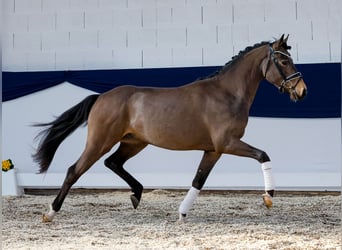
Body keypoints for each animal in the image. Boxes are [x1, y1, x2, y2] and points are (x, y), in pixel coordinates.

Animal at [34, 33, 308, 223]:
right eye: (283, 61)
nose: (302, 90)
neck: (227, 94)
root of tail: (100, 97)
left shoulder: (213, 150)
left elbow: (198, 180)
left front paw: (182, 214)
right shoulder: (227, 143)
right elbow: (263, 155)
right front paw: (268, 197)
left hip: (134, 142)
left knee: (113, 162)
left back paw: (137, 194)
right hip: (100, 142)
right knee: (74, 170)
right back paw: (50, 213)